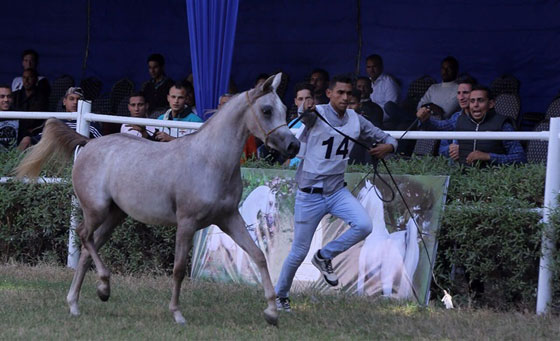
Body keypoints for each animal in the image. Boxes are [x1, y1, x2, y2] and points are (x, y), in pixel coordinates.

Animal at [15, 73, 300, 324]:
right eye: (266, 110)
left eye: (285, 108)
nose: (293, 146)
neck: (210, 161)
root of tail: (88, 143)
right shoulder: (187, 223)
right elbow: (179, 269)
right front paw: (177, 314)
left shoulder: (229, 219)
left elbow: (258, 256)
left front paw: (271, 313)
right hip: (96, 210)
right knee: (83, 235)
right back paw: (103, 286)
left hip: (115, 215)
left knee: (87, 249)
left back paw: (79, 301)